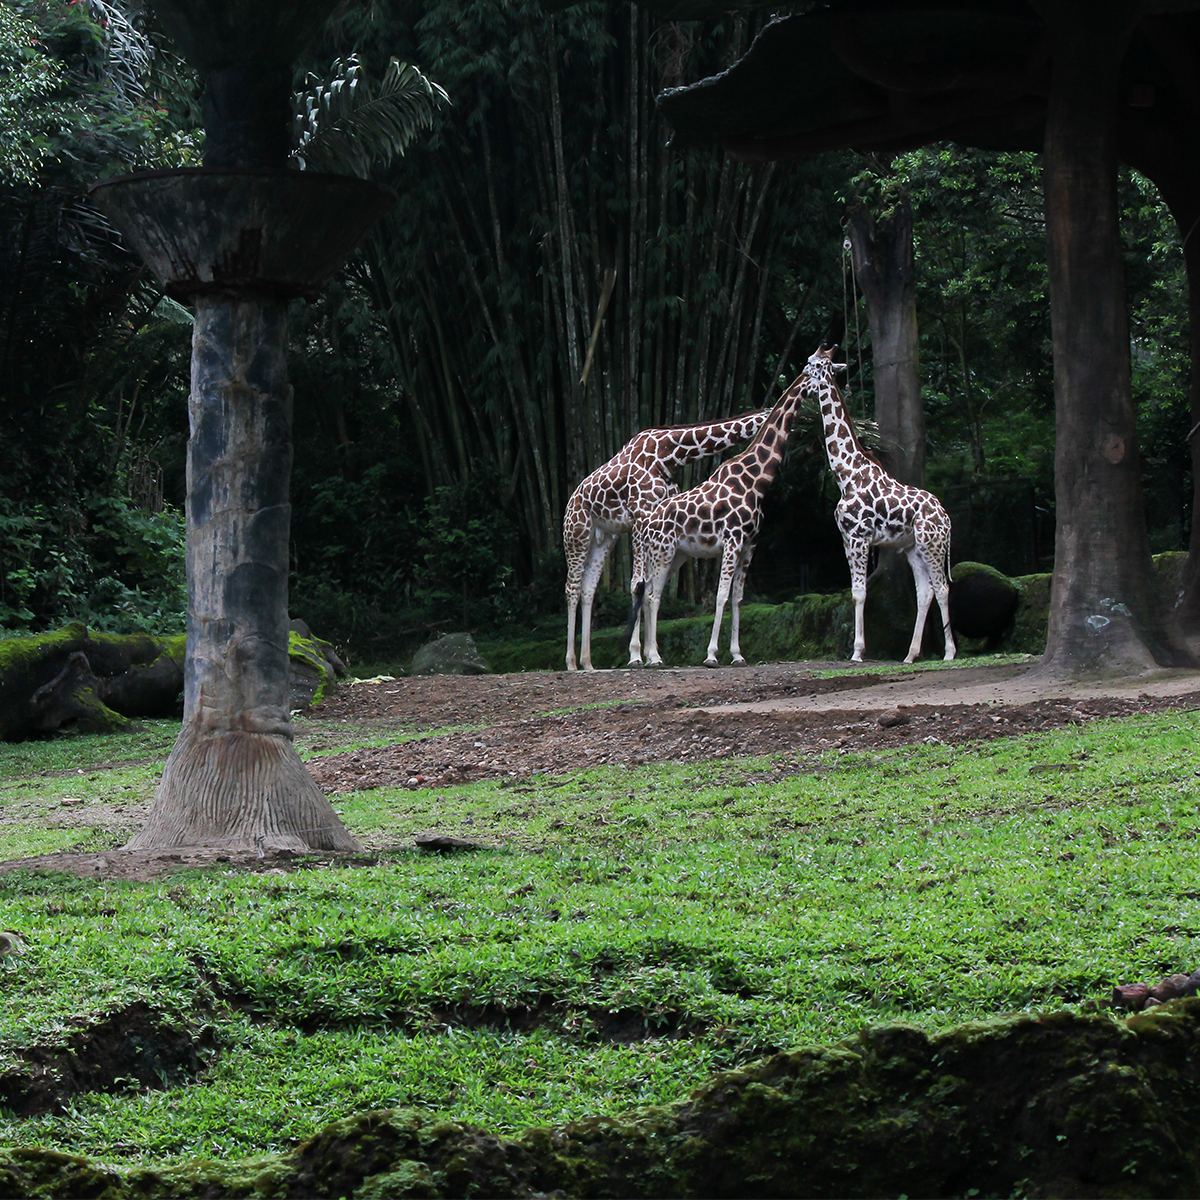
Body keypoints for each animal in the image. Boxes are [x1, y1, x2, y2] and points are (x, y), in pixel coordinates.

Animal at [564, 410, 768, 676]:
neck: (669, 456)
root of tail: (570, 503)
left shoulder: (657, 518)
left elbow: (650, 586)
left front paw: (650, 654)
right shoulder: (640, 515)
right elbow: (637, 584)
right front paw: (636, 655)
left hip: (604, 538)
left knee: (588, 588)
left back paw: (587, 663)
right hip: (577, 535)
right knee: (572, 588)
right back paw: (570, 663)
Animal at [624, 374, 811, 672]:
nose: (808, 422)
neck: (754, 482)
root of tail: (648, 525)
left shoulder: (750, 545)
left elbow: (737, 597)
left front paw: (737, 655)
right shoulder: (732, 541)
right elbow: (721, 595)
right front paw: (711, 655)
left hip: (675, 555)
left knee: (649, 591)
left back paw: (647, 655)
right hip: (659, 551)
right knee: (648, 593)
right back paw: (650, 657)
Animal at [806, 345, 955, 667]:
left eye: (812, 365)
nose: (801, 381)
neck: (846, 474)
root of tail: (947, 519)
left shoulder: (859, 537)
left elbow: (860, 593)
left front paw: (857, 652)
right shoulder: (847, 539)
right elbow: (855, 591)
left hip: (932, 545)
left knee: (942, 587)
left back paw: (950, 652)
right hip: (913, 549)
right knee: (925, 591)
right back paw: (910, 654)